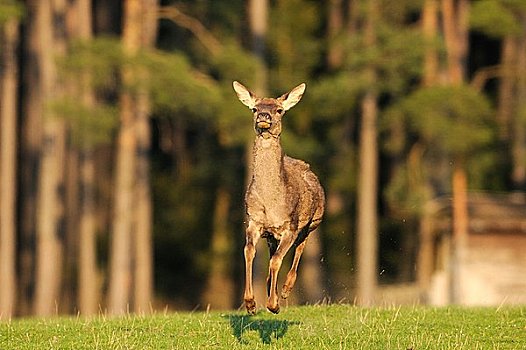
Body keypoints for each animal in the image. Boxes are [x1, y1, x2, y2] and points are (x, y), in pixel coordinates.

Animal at [235, 81, 326, 314]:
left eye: (279, 110)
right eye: (254, 108)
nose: (264, 116)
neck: (271, 204)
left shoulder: (289, 226)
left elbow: (277, 260)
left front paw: (274, 304)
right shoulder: (254, 221)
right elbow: (248, 251)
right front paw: (250, 303)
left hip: (313, 222)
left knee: (301, 246)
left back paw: (285, 289)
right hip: (272, 235)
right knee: (272, 255)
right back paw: (271, 287)